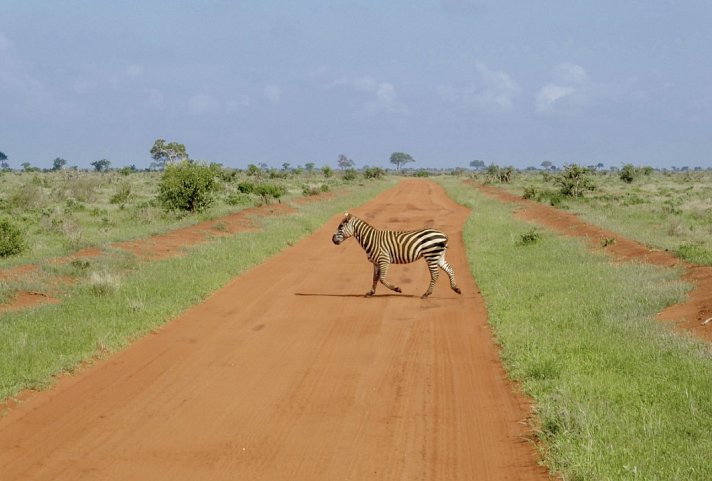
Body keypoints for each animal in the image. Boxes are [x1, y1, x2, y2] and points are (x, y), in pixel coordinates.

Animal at [332, 212, 462, 298]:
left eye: (340, 227)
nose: (332, 240)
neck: (371, 240)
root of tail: (443, 234)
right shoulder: (376, 262)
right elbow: (375, 278)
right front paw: (371, 292)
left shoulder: (384, 259)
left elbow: (382, 279)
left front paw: (397, 289)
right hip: (439, 256)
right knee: (449, 269)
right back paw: (456, 289)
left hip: (431, 255)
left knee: (435, 274)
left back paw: (426, 294)